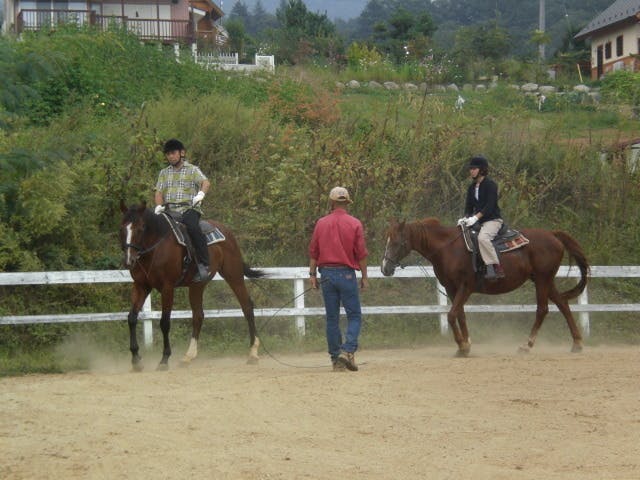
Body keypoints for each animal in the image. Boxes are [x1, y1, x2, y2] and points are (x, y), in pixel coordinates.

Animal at [120, 200, 264, 372]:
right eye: (122, 228)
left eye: (141, 228)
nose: (129, 260)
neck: (155, 249)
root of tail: (226, 231)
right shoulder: (141, 286)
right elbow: (132, 318)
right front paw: (136, 359)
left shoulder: (167, 288)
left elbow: (164, 322)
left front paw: (164, 359)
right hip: (197, 285)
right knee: (198, 315)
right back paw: (188, 357)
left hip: (234, 275)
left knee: (247, 307)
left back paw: (253, 353)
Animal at [380, 218, 592, 356]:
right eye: (387, 240)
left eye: (397, 242)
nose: (385, 268)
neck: (448, 248)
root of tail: (552, 234)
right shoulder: (451, 289)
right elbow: (460, 315)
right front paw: (466, 344)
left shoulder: (465, 287)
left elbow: (451, 315)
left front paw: (462, 346)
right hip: (545, 281)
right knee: (563, 304)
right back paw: (577, 344)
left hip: (542, 280)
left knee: (543, 309)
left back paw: (526, 345)